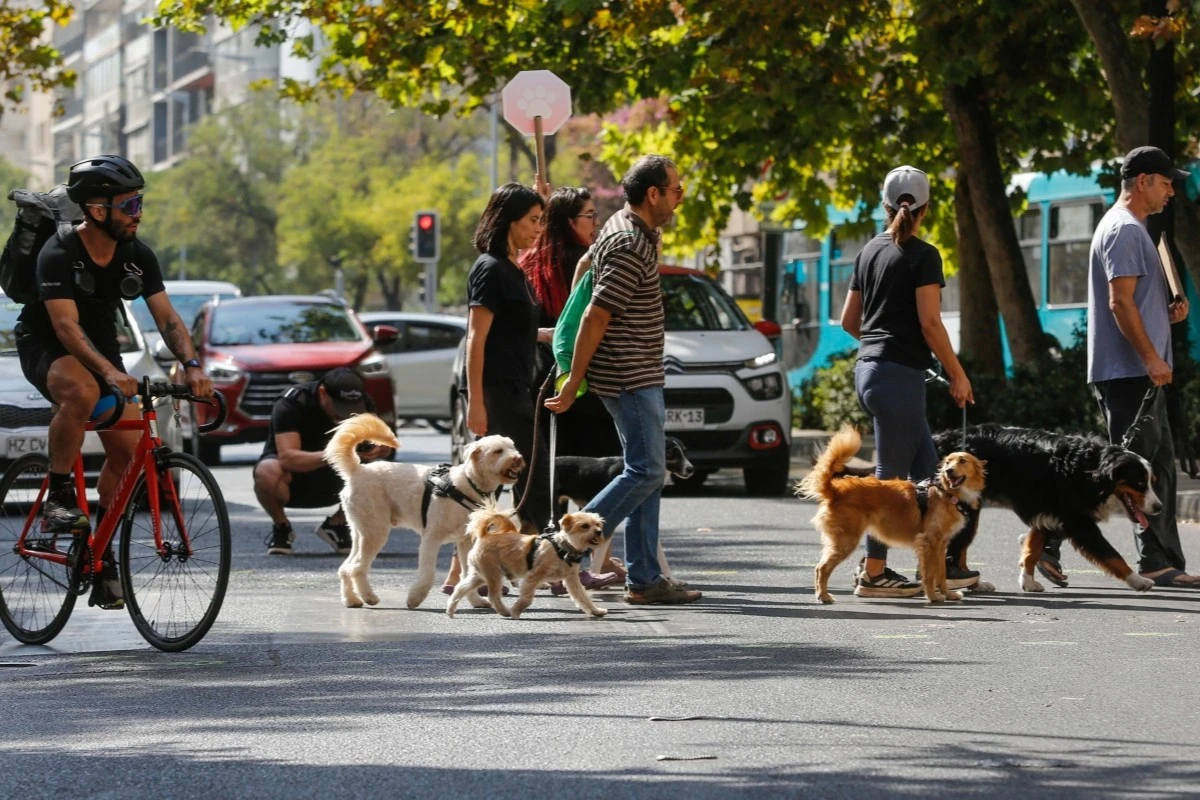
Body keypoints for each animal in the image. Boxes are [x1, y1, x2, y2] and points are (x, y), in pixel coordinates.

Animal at [324, 417, 525, 609]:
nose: (518, 458)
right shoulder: (430, 539)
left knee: (345, 568)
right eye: (498, 451)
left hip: (361, 531)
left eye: (513, 447)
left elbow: (468, 575)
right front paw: (415, 598)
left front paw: (475, 600)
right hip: (375, 531)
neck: (466, 484)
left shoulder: (465, 542)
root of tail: (357, 469)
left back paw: (351, 599)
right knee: (357, 567)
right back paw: (368, 596)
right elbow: (428, 574)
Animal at [796, 429, 984, 604]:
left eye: (962, 460)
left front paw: (949, 594)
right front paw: (932, 596)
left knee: (819, 568)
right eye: (948, 462)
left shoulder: (940, 543)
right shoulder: (929, 542)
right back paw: (823, 596)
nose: (948, 471)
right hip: (845, 541)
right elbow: (929, 575)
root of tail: (835, 490)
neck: (946, 492)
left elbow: (941, 574)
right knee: (821, 569)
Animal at [936, 424, 1161, 594]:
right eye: (1139, 483)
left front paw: (1027, 581)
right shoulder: (1078, 522)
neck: (1087, 470)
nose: (1159, 507)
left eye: (1152, 481)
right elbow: (1112, 554)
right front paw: (1137, 580)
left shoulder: (1048, 515)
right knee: (958, 549)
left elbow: (1032, 550)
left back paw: (975, 583)